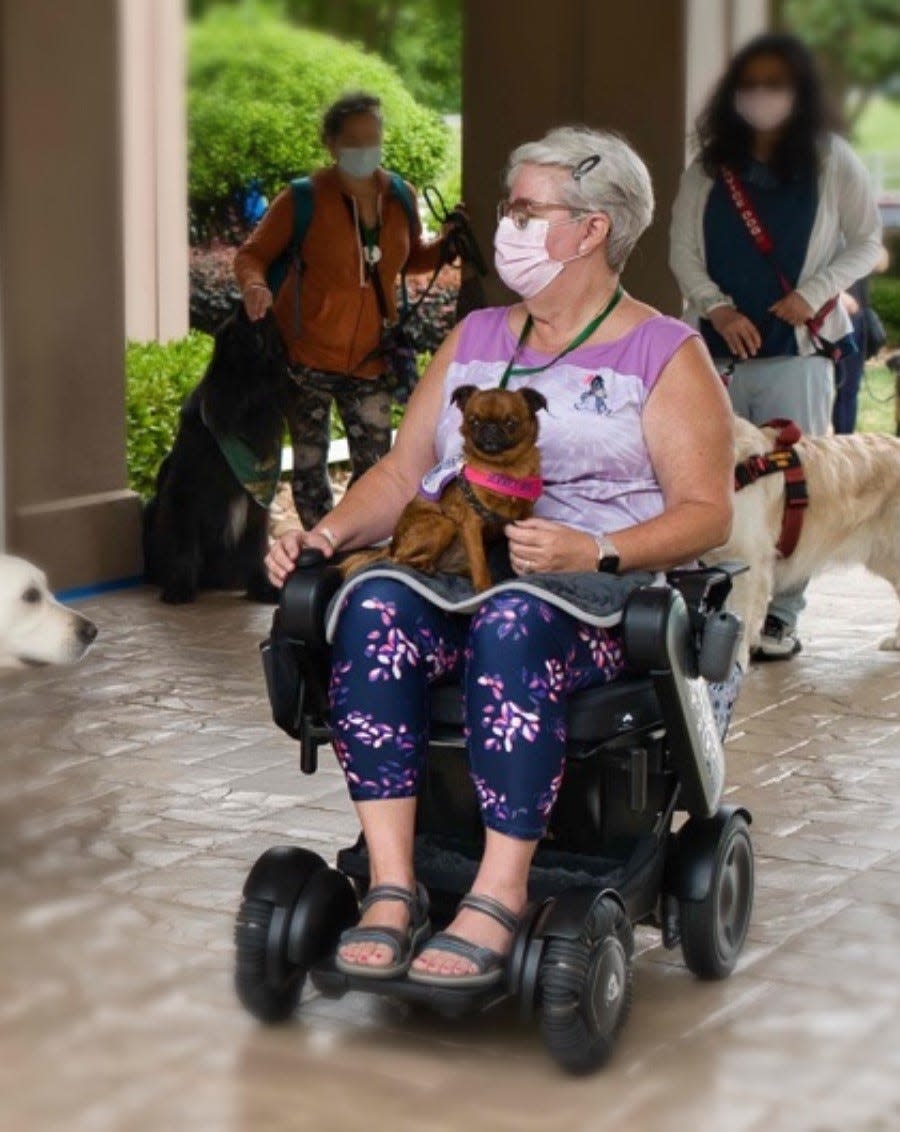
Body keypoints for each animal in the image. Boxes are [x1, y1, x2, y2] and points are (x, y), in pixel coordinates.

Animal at [144, 305, 288, 606]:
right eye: (243, 332)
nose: (246, 306)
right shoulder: (183, 492)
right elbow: (184, 543)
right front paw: (179, 589)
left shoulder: (258, 503)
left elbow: (256, 548)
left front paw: (262, 587)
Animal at [341, 384, 545, 593]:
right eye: (474, 421)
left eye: (511, 423)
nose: (490, 428)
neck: (504, 470)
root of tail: (392, 545)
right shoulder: (471, 523)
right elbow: (479, 561)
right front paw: (483, 588)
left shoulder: (524, 517)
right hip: (444, 524)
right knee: (398, 559)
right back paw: (423, 566)